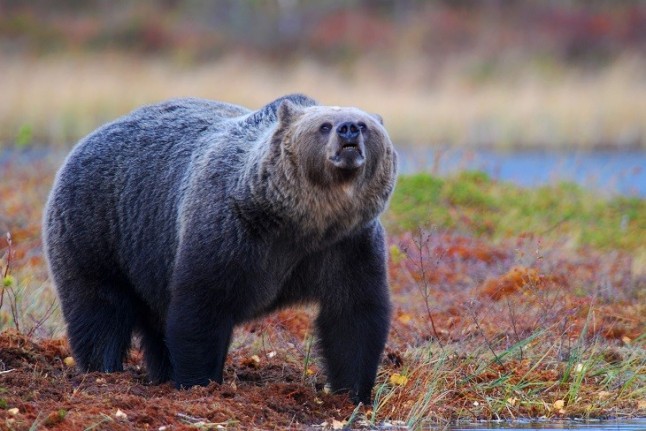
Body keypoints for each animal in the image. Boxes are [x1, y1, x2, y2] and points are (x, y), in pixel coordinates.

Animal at [43, 93, 398, 404]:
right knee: (99, 308)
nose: (348, 129)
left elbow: (354, 315)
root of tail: (90, 136)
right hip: (99, 228)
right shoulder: (231, 234)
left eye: (365, 125)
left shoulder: (347, 246)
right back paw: (102, 370)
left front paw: (353, 392)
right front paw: (198, 381)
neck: (303, 223)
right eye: (324, 126)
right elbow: (202, 308)